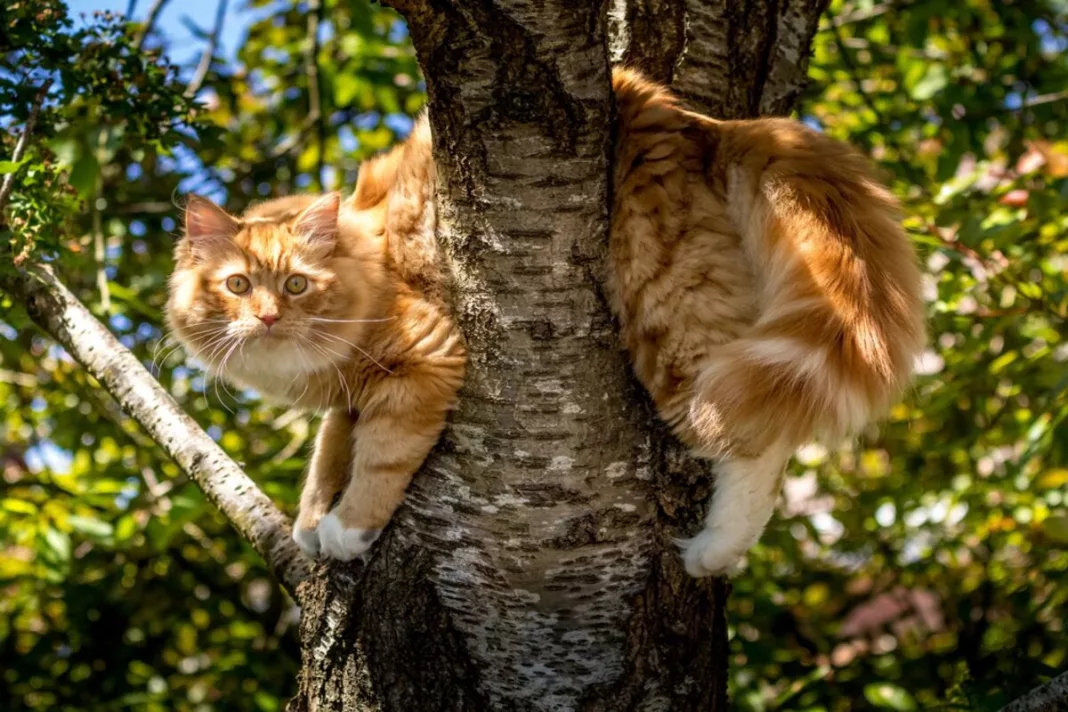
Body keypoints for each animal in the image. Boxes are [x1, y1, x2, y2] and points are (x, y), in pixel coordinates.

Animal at [165, 122, 463, 563]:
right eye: (238, 285)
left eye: (296, 284)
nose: (268, 317)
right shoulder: (348, 399)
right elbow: (327, 457)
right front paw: (309, 522)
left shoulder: (425, 360)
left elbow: (382, 455)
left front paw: (349, 526)